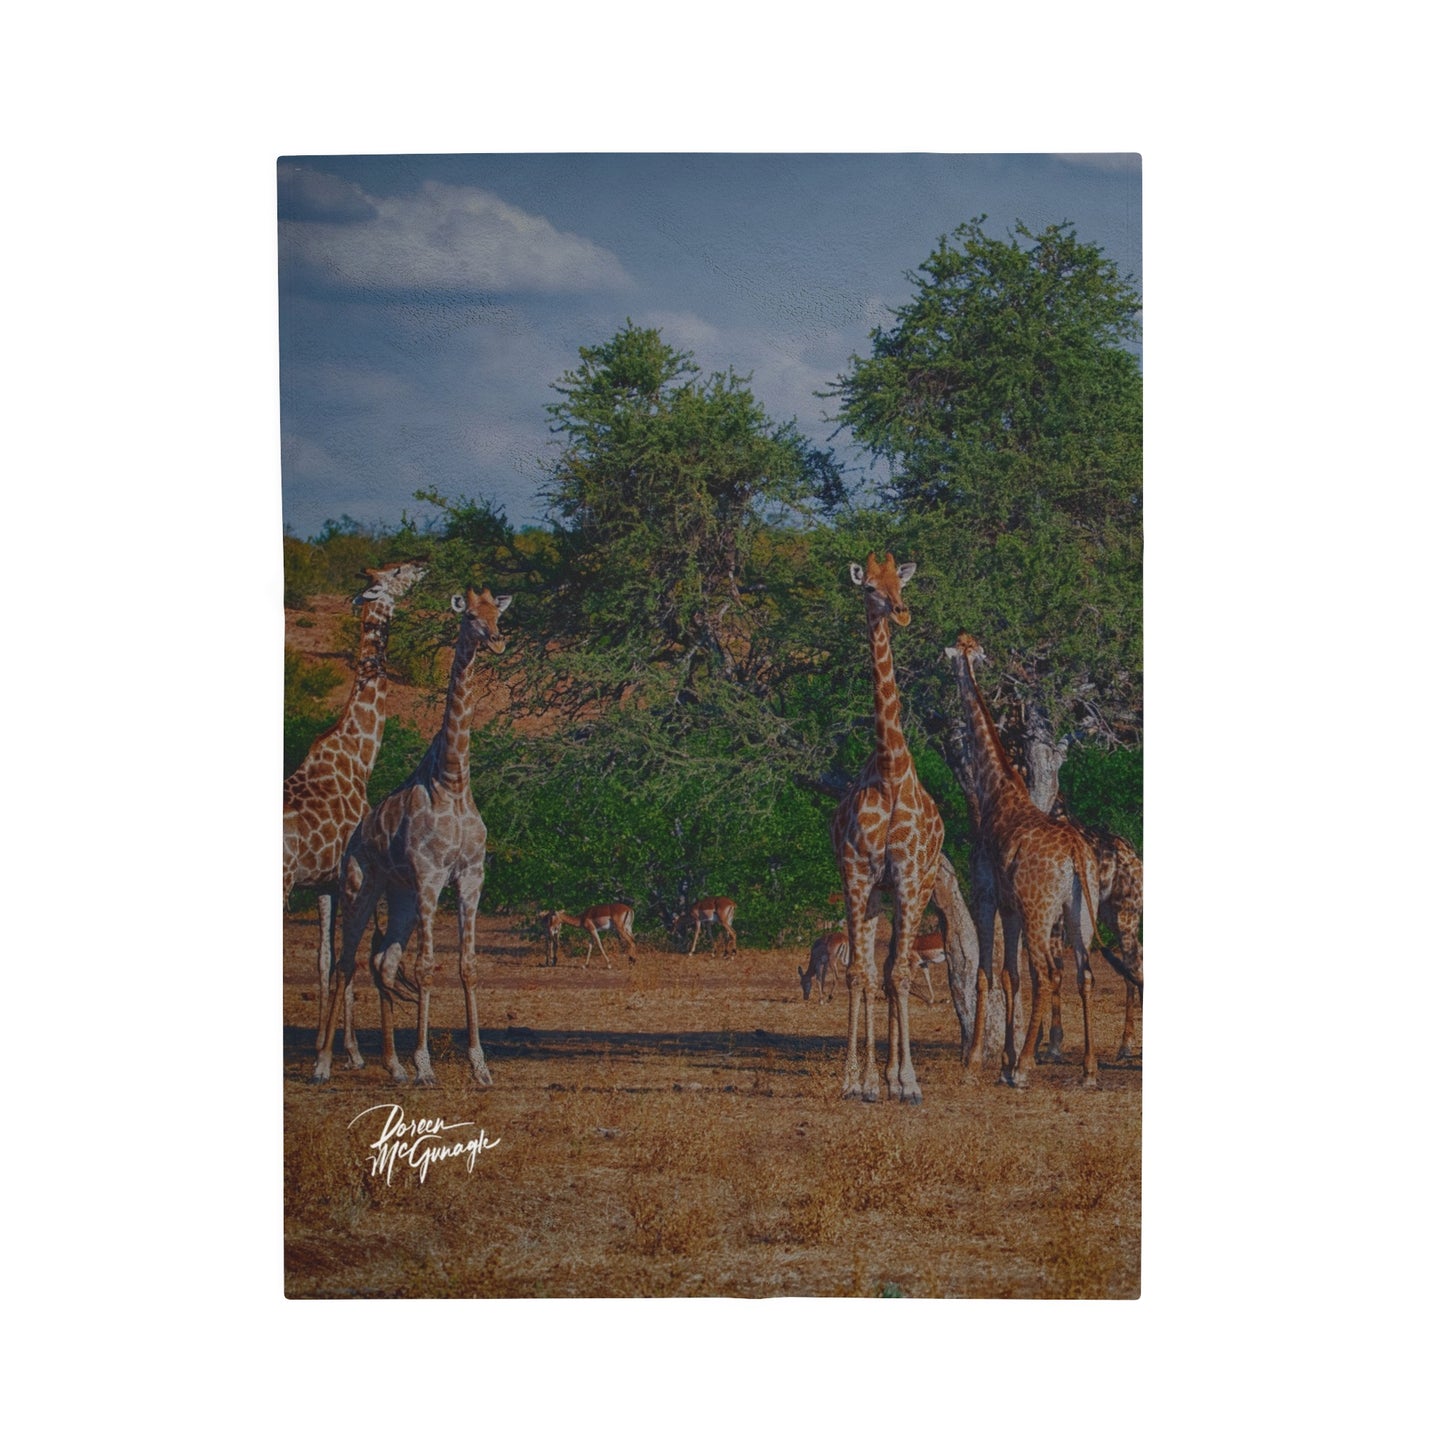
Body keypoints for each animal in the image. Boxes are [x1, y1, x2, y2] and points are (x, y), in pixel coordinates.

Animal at [283, 560, 426, 1063]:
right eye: (397, 571)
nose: (424, 564)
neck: (358, 756)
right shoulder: (359, 874)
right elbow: (353, 956)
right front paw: (354, 1051)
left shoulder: (324, 882)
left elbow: (326, 961)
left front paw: (323, 1046)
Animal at [314, 584, 512, 1087]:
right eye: (470, 617)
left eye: (497, 614)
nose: (498, 640)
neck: (453, 781)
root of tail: (354, 837)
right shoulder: (430, 876)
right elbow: (425, 968)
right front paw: (425, 1064)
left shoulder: (470, 877)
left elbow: (467, 966)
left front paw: (479, 1065)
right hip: (359, 888)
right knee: (345, 963)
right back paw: (323, 1064)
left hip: (399, 896)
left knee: (382, 963)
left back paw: (394, 1066)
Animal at [943, 632, 1101, 1087]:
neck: (994, 789)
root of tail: (1075, 854)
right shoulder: (1011, 908)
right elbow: (1010, 977)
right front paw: (1004, 1060)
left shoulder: (986, 897)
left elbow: (985, 974)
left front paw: (977, 1061)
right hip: (1078, 911)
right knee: (1084, 973)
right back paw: (1088, 1069)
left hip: (1040, 910)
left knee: (1048, 973)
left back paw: (1028, 1066)